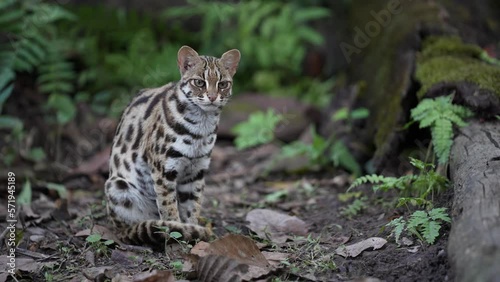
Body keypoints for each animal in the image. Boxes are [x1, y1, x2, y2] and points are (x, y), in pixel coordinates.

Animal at [104, 45, 241, 246]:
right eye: (199, 82)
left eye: (223, 84)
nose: (213, 97)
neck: (201, 126)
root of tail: (117, 228)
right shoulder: (163, 169)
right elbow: (168, 207)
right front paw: (176, 231)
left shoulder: (196, 170)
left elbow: (192, 205)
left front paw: (192, 229)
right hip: (116, 186)